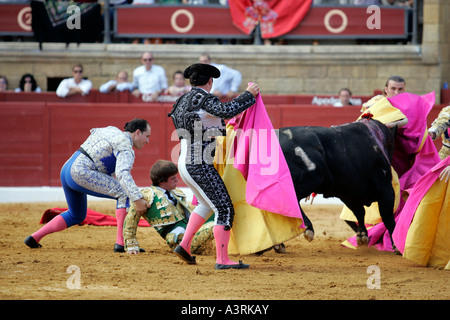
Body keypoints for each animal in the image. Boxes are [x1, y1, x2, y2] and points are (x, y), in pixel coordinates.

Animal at [282, 116, 400, 249]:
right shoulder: (385, 190)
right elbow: (387, 217)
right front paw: (395, 246)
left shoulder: (347, 194)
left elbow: (359, 211)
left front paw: (362, 235)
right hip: (306, 181)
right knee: (290, 202)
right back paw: (307, 229)